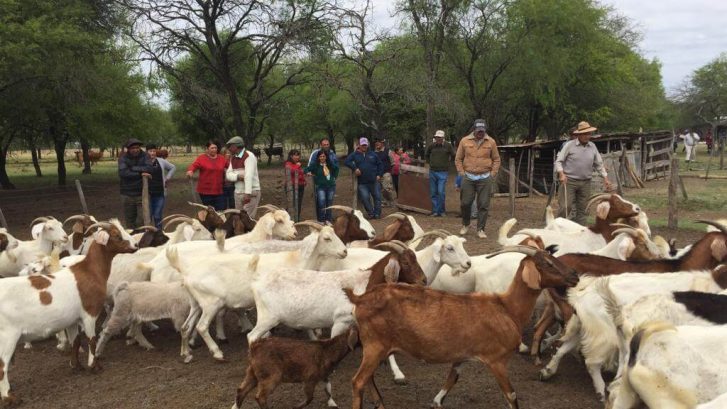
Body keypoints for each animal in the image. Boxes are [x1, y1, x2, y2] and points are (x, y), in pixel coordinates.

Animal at [346, 245, 580, 408]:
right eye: (548, 263)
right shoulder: (497, 360)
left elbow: (453, 377)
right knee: (358, 381)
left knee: (368, 379)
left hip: (375, 348)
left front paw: (437, 401)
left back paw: (380, 403)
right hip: (375, 345)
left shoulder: (463, 354)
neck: (507, 308)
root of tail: (360, 299)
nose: (574, 275)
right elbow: (511, 395)